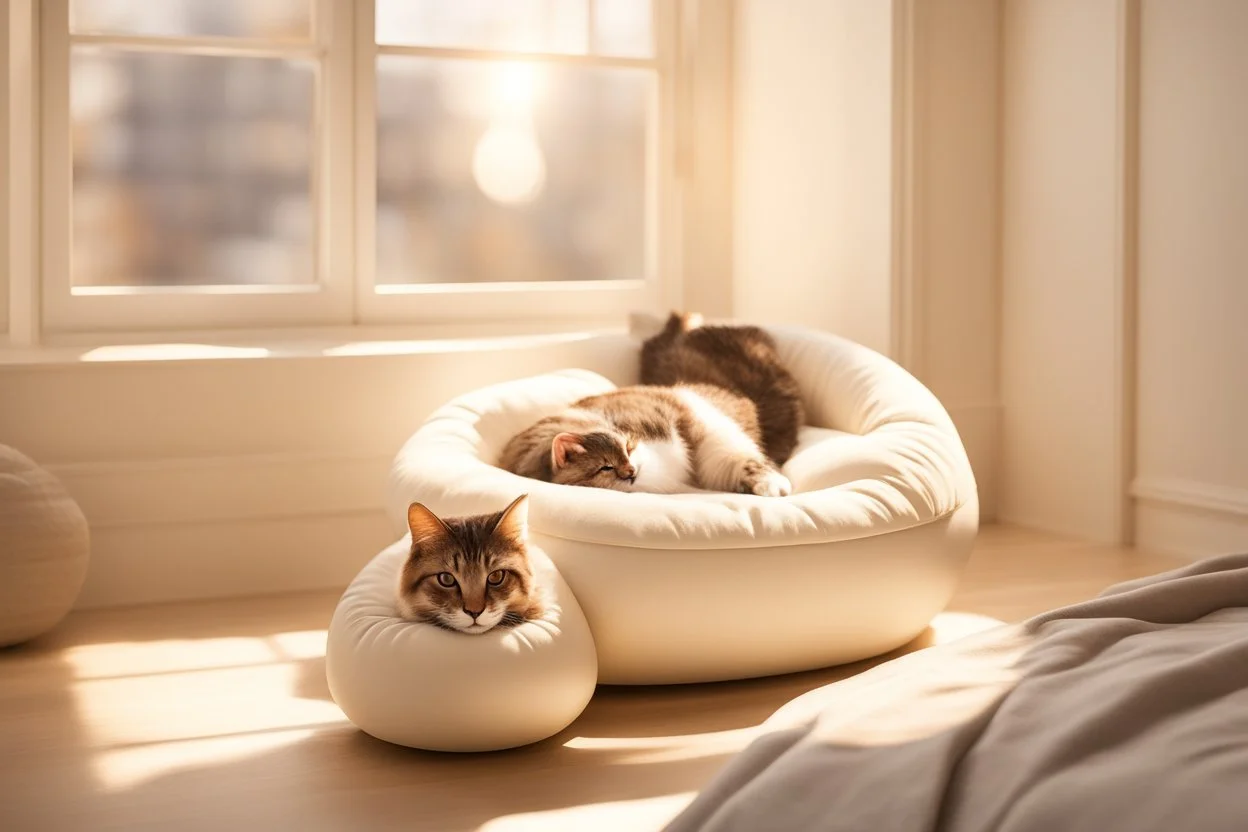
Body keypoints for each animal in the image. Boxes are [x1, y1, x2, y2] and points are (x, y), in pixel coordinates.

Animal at [496, 310, 798, 493]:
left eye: (629, 447)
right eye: (606, 467)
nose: (631, 471)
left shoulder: (696, 417)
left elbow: (744, 458)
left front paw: (773, 484)